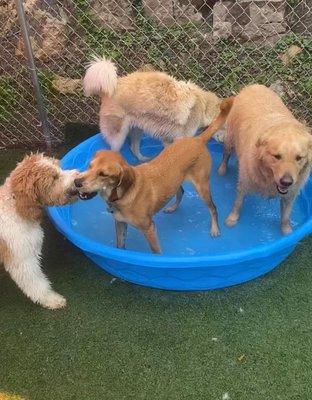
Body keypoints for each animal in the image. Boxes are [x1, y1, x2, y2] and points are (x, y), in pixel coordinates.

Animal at [0, 154, 79, 310]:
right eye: (54, 178)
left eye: (59, 167)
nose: (78, 177)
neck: (16, 207)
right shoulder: (22, 259)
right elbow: (36, 284)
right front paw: (51, 299)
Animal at [74, 98, 233, 252]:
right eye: (89, 166)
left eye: (103, 174)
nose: (76, 182)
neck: (124, 194)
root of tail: (197, 139)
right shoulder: (120, 224)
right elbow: (120, 246)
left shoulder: (149, 228)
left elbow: (156, 252)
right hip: (175, 180)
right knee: (181, 191)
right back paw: (172, 208)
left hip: (202, 187)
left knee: (213, 208)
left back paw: (215, 229)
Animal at [218, 84, 310, 234]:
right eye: (277, 156)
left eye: (299, 158)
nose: (286, 182)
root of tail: (253, 85)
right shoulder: (244, 183)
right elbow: (238, 203)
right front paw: (232, 219)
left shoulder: (290, 195)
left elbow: (286, 216)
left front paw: (286, 232)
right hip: (230, 139)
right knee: (226, 154)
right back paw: (222, 169)